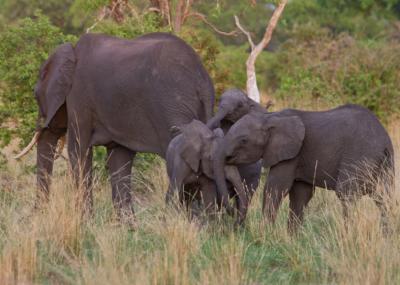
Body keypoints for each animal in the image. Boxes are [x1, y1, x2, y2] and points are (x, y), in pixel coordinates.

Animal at [15, 31, 214, 222]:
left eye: (35, 95)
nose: (36, 217)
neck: (71, 51)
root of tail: (202, 80)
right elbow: (119, 159)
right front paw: (128, 227)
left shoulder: (79, 99)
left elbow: (78, 151)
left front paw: (85, 223)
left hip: (174, 107)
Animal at [214, 103, 396, 232]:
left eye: (243, 140)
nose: (235, 223)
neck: (270, 117)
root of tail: (384, 141)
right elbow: (300, 195)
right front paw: (293, 238)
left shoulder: (291, 153)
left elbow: (276, 188)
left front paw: (264, 235)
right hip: (385, 164)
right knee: (384, 197)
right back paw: (386, 237)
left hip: (359, 156)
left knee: (346, 194)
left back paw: (348, 235)